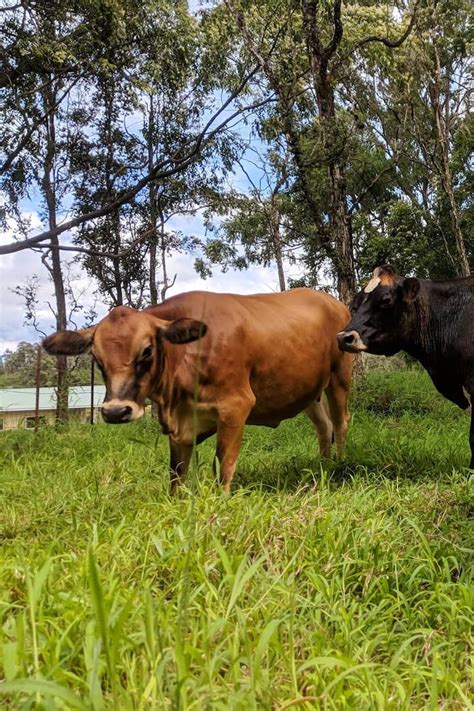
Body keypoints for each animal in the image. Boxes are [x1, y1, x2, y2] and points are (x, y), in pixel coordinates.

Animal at [43, 290, 352, 496]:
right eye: (96, 357)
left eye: (147, 350)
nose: (116, 411)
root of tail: (332, 301)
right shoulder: (179, 427)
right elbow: (176, 475)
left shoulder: (235, 407)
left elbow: (223, 466)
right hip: (309, 391)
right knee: (324, 426)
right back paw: (322, 466)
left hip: (339, 377)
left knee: (340, 422)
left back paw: (339, 465)